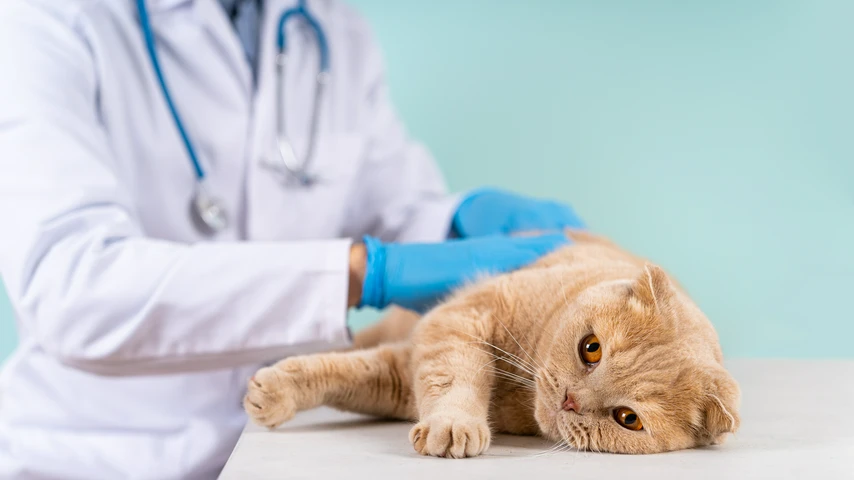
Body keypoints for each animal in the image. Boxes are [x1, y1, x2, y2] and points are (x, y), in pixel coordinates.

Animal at [242, 232, 744, 458]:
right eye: (592, 349)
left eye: (628, 419)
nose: (571, 400)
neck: (515, 394)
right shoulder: (458, 320)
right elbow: (455, 374)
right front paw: (455, 423)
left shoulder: (404, 376)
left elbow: (356, 376)